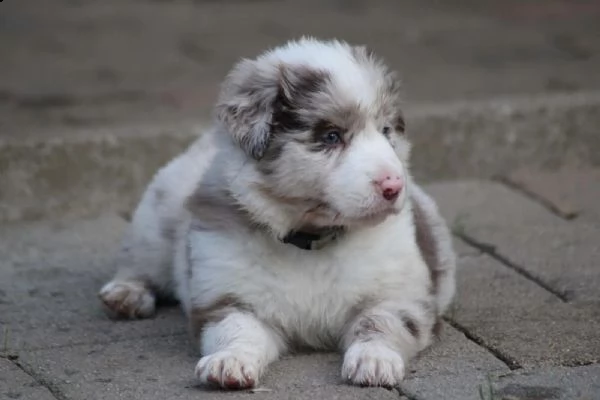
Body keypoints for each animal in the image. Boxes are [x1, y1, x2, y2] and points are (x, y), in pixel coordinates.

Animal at [99, 36, 454, 388]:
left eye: (386, 131)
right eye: (331, 136)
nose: (394, 185)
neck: (311, 241)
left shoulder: (402, 295)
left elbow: (381, 322)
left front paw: (374, 360)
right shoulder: (229, 296)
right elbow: (237, 329)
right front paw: (228, 362)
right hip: (157, 214)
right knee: (139, 262)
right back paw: (126, 294)